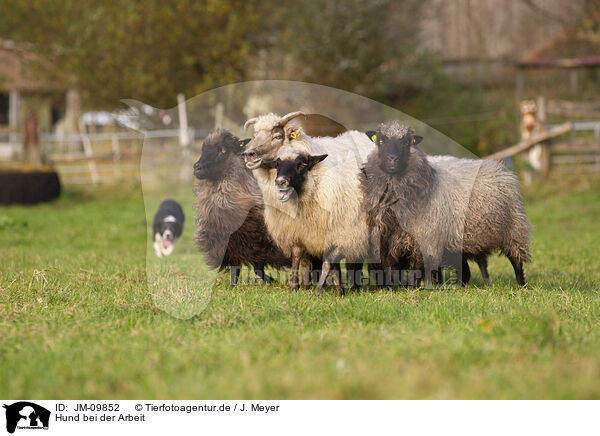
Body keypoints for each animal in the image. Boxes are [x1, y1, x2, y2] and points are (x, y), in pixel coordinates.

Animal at [193, 129, 292, 286]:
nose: (196, 167)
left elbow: (257, 269)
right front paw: (233, 287)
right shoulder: (230, 248)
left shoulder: (257, 243)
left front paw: (271, 281)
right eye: (203, 149)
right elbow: (237, 270)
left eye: (222, 150)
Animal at [258, 147, 370, 296]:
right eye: (277, 165)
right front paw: (295, 285)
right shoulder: (302, 233)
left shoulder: (342, 234)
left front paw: (319, 290)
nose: (280, 182)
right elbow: (297, 255)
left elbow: (328, 262)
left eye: (300, 165)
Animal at [360, 121, 528, 288]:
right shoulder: (385, 238)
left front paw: (413, 288)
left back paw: (521, 285)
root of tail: (499, 166)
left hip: (514, 228)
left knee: (516, 259)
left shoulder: (425, 237)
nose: (392, 159)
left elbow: (417, 269)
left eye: (407, 142)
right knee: (467, 271)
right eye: (380, 141)